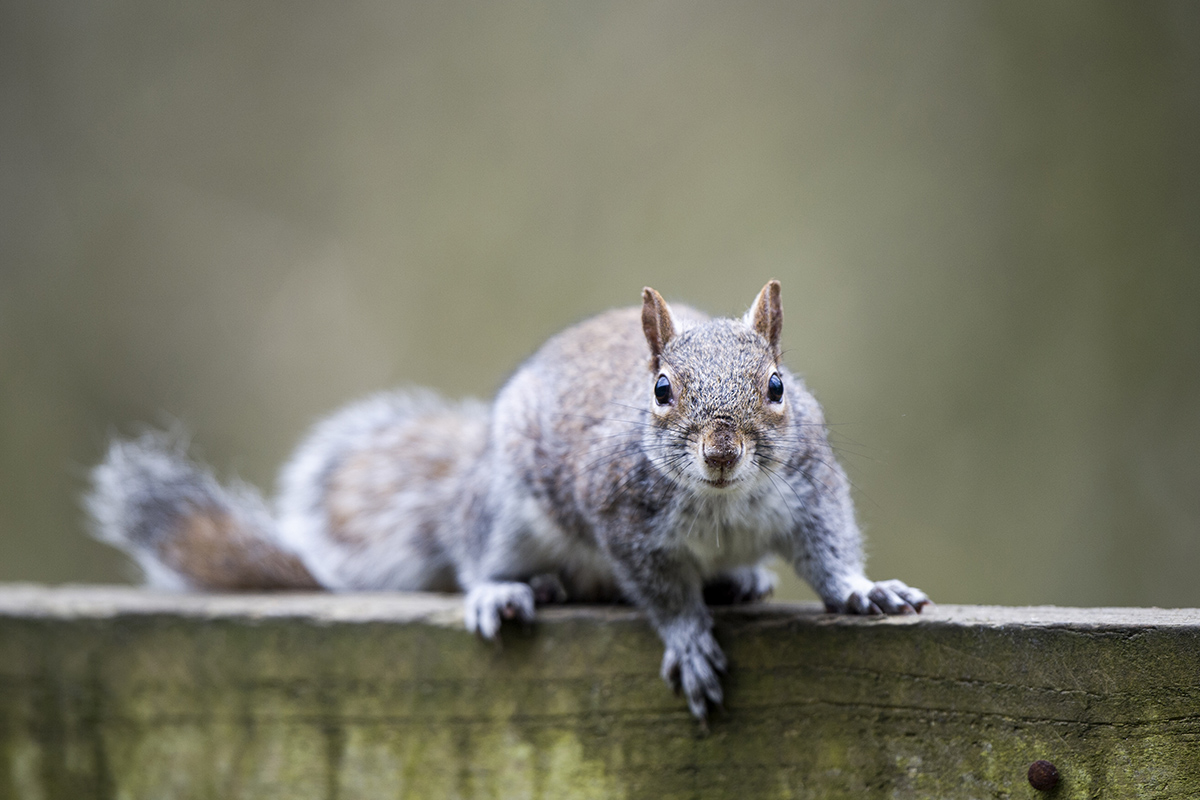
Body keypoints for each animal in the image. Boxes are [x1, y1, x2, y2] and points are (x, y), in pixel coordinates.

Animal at [87, 281, 926, 719]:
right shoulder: (622, 522)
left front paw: (864, 591)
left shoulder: (811, 487)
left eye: (778, 387)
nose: (720, 452)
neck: (722, 501)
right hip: (504, 512)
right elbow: (660, 591)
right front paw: (689, 639)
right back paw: (511, 589)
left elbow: (828, 549)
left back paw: (738, 579)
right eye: (660, 391)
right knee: (480, 557)